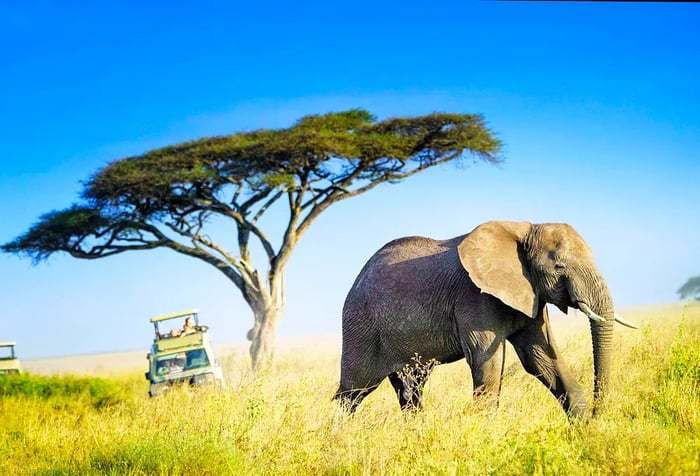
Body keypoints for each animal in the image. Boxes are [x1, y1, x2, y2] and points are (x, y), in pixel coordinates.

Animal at [336, 221, 636, 418]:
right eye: (559, 266)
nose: (599, 414)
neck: (524, 229)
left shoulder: (531, 296)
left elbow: (542, 359)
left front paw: (584, 433)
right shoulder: (474, 299)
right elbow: (486, 363)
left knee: (410, 391)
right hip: (360, 326)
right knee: (353, 391)